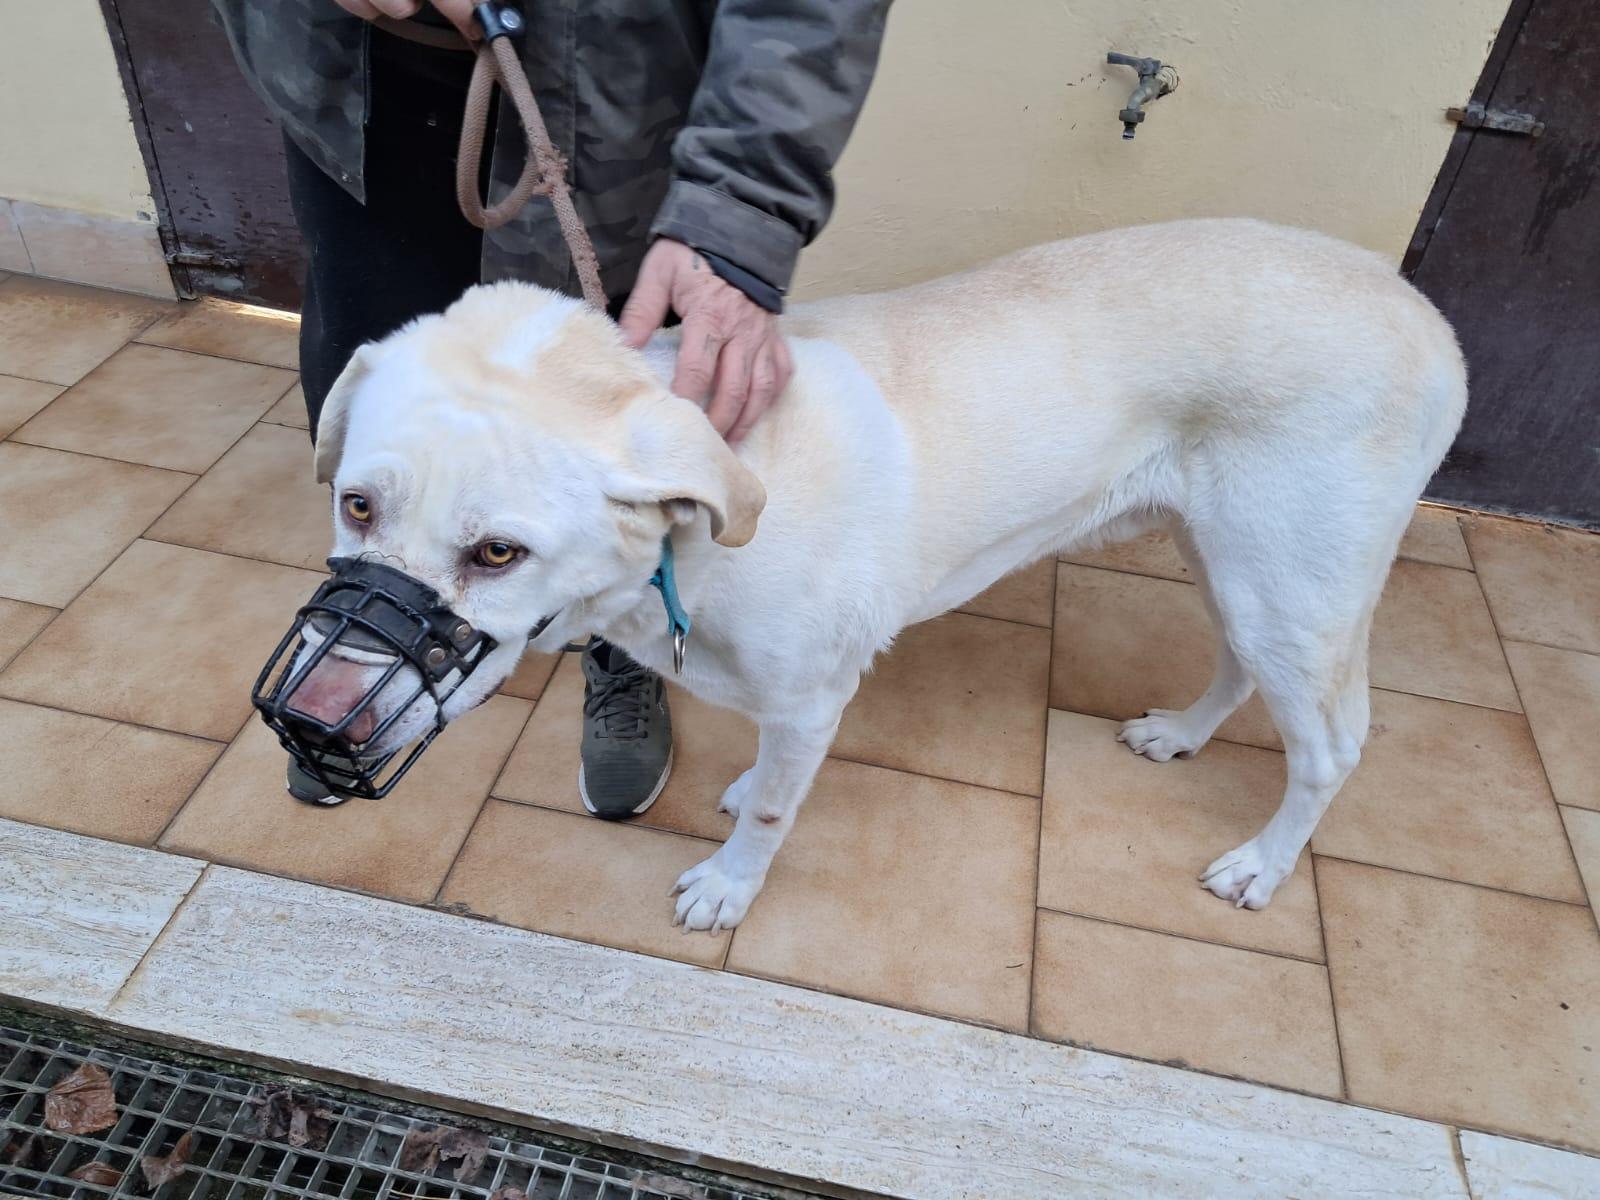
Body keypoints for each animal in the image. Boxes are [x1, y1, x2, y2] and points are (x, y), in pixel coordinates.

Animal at [290, 218, 1466, 930]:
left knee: (1331, 747)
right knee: (1235, 665)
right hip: (1225, 562)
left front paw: (729, 888)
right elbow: (765, 772)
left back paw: (1261, 865)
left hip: (1291, 588)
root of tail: (1432, 322)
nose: (313, 723)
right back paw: (1180, 734)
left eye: (498, 553)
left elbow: (773, 813)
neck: (705, 531)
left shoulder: (816, 697)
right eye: (357, 505)